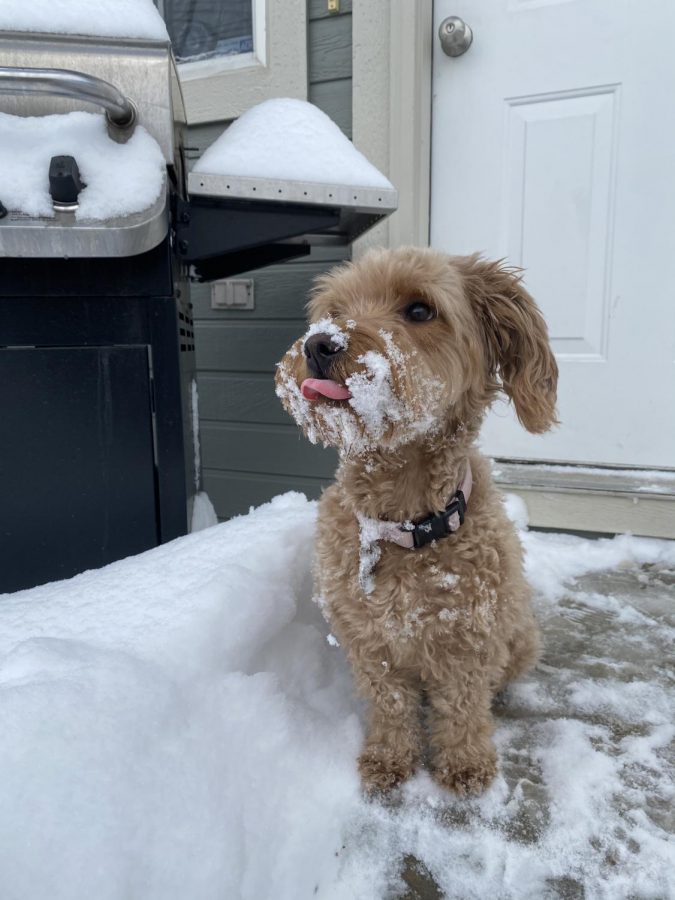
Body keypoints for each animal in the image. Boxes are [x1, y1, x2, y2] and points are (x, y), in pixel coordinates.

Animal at [274, 246, 560, 796]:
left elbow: (463, 705)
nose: (320, 343)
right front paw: (388, 759)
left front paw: (466, 764)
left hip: (521, 637)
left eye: (421, 310)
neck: (406, 520)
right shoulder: (369, 641)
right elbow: (389, 704)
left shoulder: (469, 638)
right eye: (334, 310)